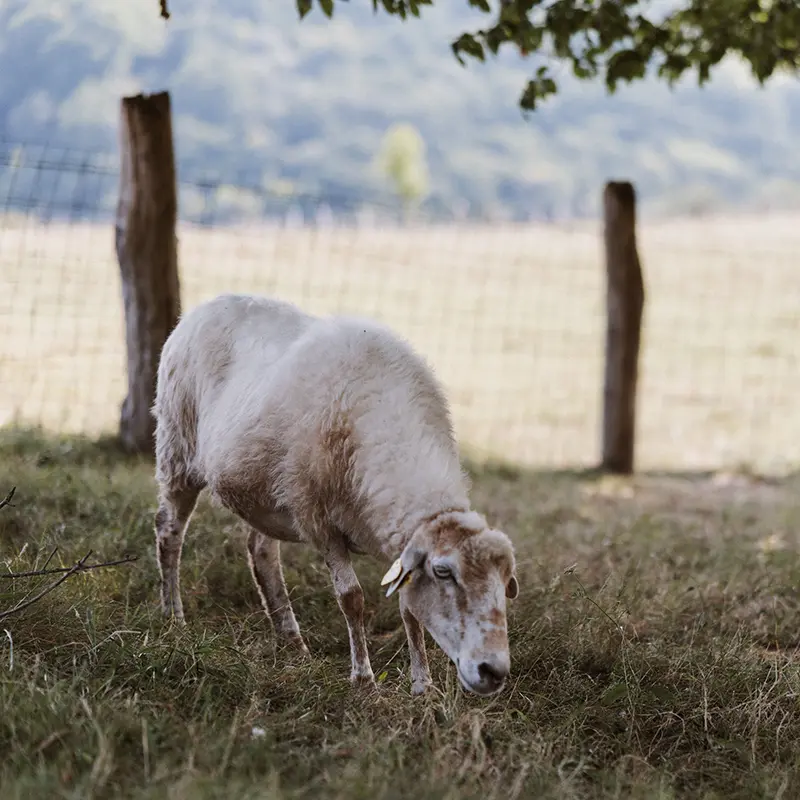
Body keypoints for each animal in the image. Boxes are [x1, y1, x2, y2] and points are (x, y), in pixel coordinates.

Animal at [152, 293, 519, 696]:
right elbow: (351, 598)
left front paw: (423, 685)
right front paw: (363, 679)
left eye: (505, 582)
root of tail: (208, 303)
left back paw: (292, 640)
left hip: (264, 490)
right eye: (443, 572)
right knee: (169, 533)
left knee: (261, 552)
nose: (493, 671)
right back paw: (174, 619)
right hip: (177, 449)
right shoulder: (319, 521)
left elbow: (408, 609)